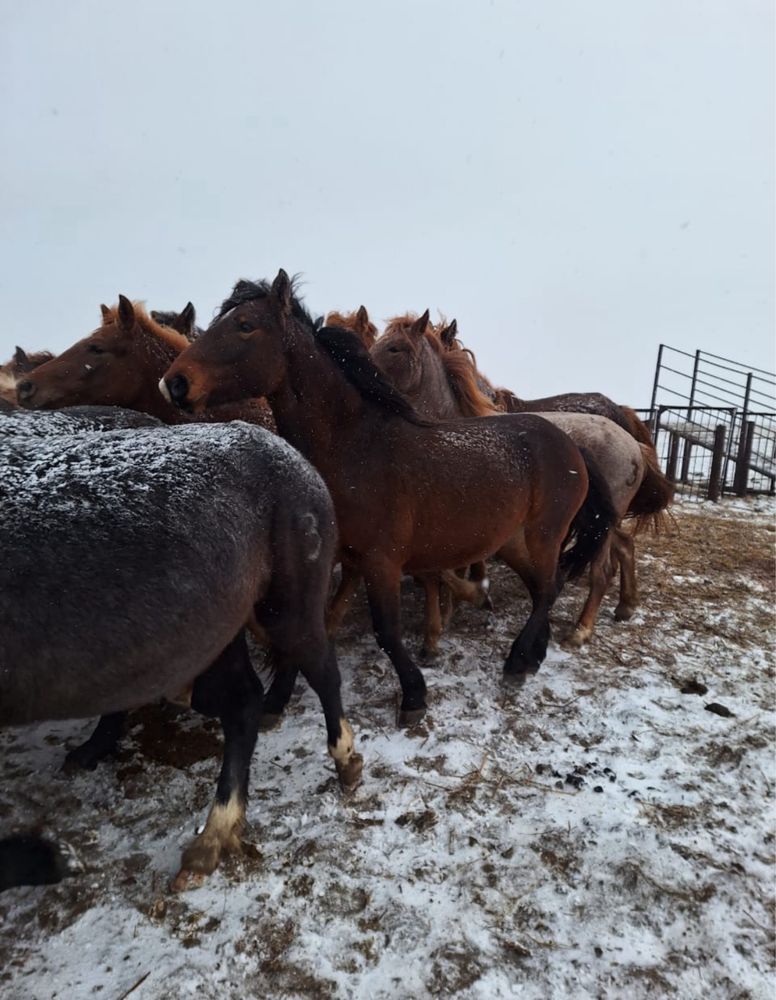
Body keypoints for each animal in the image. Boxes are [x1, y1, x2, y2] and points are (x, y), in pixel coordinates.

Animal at [0, 410, 364, 896]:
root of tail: (295, 460)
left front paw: (50, 858)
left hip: (282, 609)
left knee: (315, 674)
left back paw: (338, 765)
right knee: (246, 700)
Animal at [161, 266, 616, 724]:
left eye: (245, 325)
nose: (174, 383)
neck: (354, 449)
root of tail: (570, 443)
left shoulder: (381, 562)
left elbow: (387, 632)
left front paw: (414, 696)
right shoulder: (330, 559)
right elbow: (306, 630)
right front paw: (275, 701)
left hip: (544, 535)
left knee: (547, 590)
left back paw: (517, 662)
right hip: (511, 540)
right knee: (543, 589)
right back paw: (532, 657)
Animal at [370, 312, 672, 648]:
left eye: (394, 347)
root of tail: (633, 444)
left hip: (598, 524)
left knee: (603, 570)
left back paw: (581, 630)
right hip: (604, 520)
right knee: (625, 547)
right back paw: (625, 606)